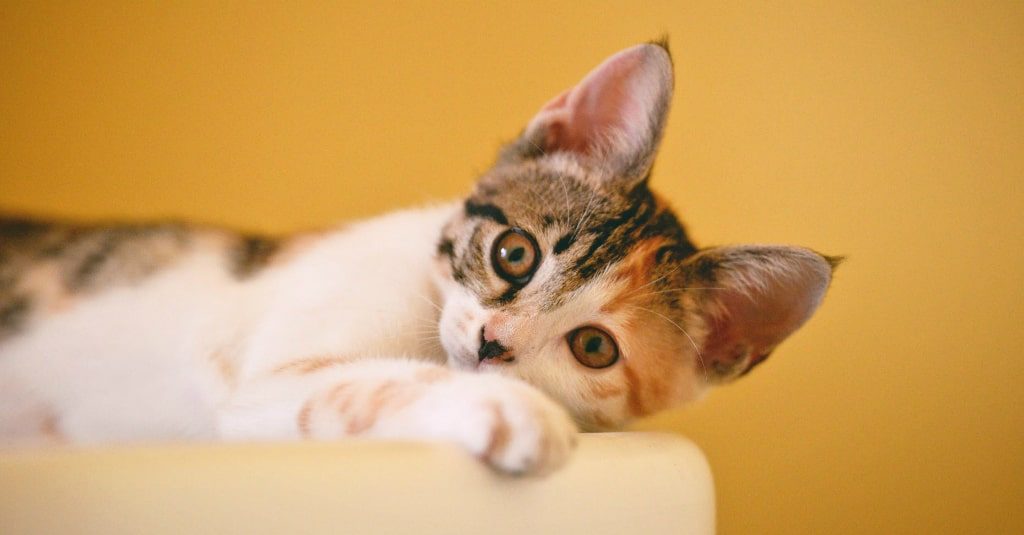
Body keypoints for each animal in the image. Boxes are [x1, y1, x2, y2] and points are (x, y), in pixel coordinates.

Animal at [0, 42, 839, 475]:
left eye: (595, 347)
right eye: (514, 253)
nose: (494, 346)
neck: (427, 321)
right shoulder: (260, 381)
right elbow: (361, 381)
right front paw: (507, 411)